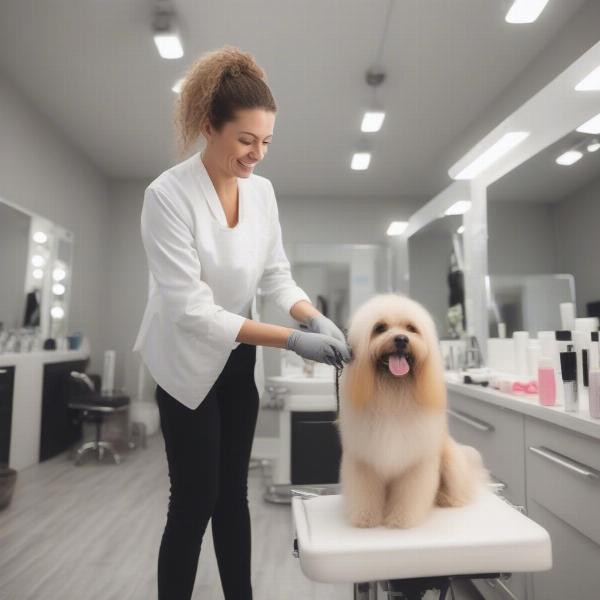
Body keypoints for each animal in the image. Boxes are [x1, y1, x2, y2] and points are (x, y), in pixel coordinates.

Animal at [336, 292, 490, 528]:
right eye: (380, 328)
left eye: (411, 328)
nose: (401, 339)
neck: (393, 391)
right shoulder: (363, 461)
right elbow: (364, 493)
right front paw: (365, 518)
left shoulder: (417, 463)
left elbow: (409, 495)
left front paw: (401, 519)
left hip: (451, 462)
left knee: (460, 489)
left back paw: (446, 499)